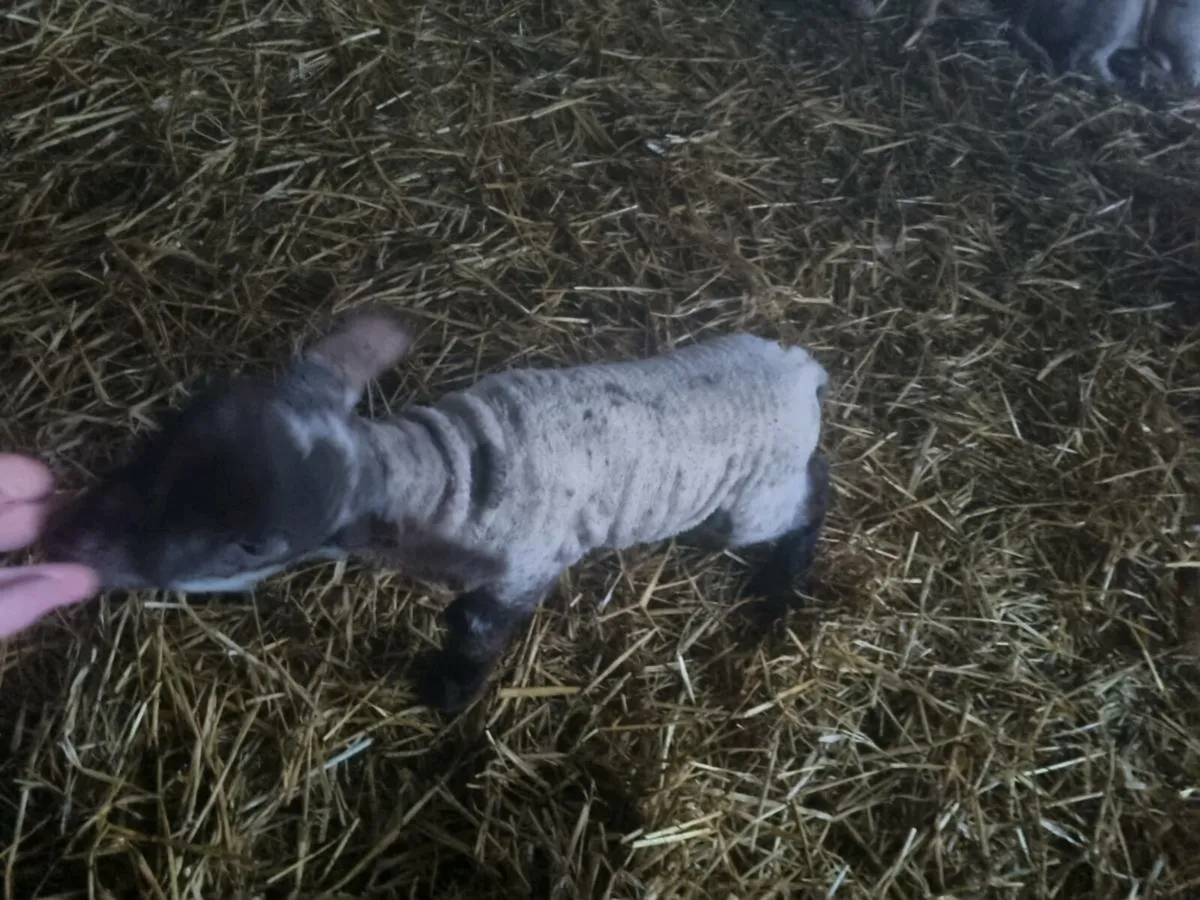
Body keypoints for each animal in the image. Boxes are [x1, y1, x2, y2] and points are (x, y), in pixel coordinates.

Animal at [43, 309, 832, 713]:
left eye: (256, 544)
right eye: (172, 428)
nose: (71, 541)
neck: (446, 471)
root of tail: (798, 367)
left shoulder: (520, 572)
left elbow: (474, 634)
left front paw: (447, 697)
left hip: (753, 500)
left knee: (808, 495)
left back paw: (783, 581)